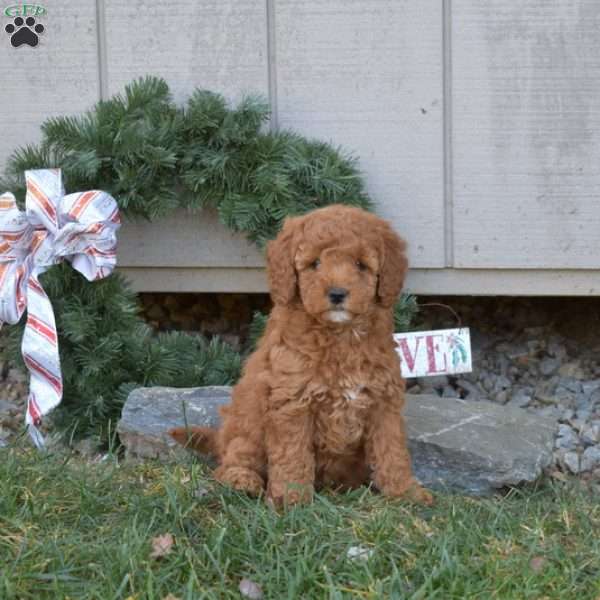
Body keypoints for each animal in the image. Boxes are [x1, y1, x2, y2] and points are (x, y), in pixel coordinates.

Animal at [169, 205, 432, 506]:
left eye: (360, 265)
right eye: (314, 263)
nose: (337, 293)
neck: (340, 336)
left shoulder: (383, 402)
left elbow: (392, 451)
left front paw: (406, 493)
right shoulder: (292, 403)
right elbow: (292, 454)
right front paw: (291, 500)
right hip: (247, 422)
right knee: (233, 458)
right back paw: (243, 481)